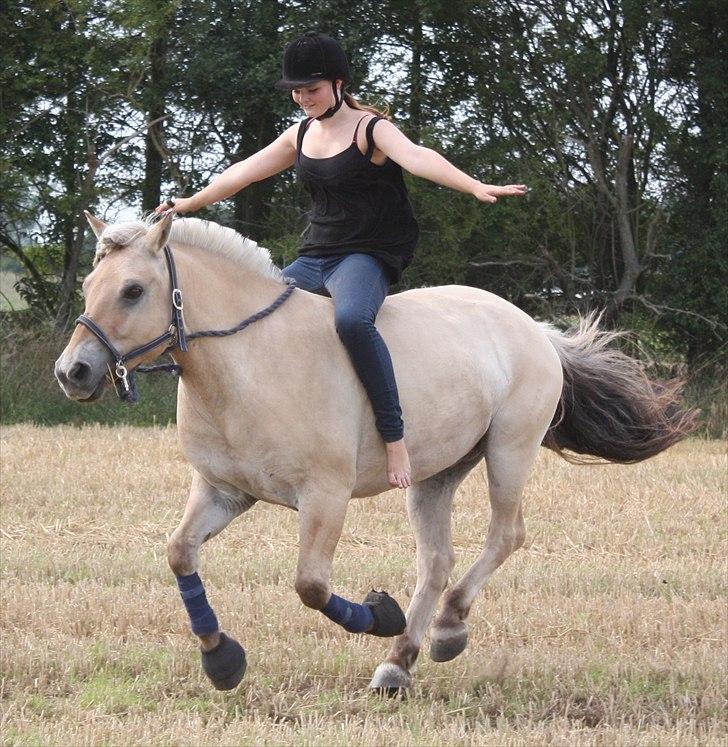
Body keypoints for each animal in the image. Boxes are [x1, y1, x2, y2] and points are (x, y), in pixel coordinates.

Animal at [54, 212, 697, 692]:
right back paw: (399, 661)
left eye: (133, 291)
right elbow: (179, 554)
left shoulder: (325, 497)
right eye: (89, 288)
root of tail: (536, 330)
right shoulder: (223, 492)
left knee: (505, 536)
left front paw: (380, 614)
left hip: (509, 452)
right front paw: (222, 659)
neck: (247, 361)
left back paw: (446, 631)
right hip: (435, 475)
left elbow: (311, 586)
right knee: (436, 560)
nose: (72, 373)